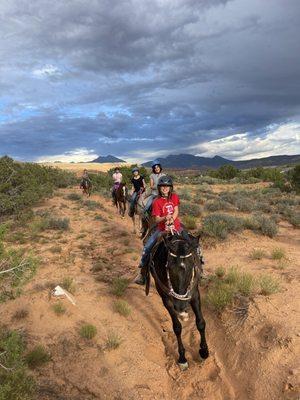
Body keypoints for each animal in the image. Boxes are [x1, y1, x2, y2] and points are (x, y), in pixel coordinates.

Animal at [146, 234, 209, 368]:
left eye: (192, 265)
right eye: (168, 267)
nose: (180, 306)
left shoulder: (194, 294)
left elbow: (201, 322)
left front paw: (204, 351)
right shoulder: (166, 298)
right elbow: (177, 327)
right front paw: (182, 358)